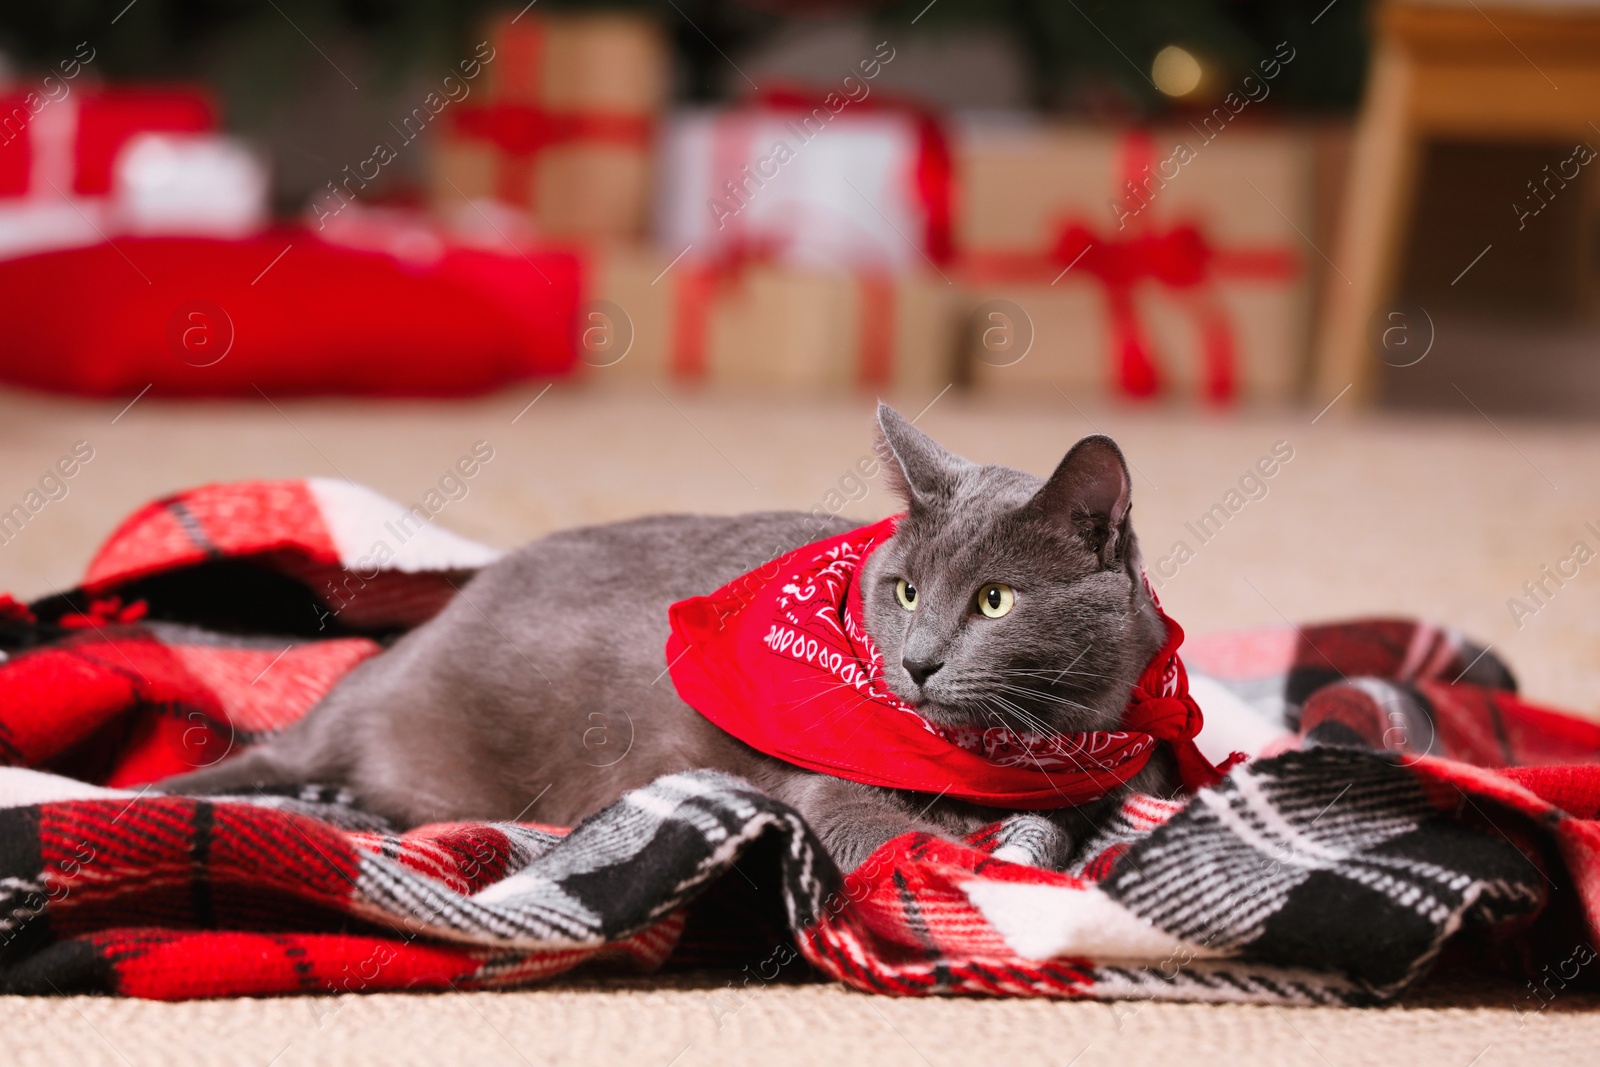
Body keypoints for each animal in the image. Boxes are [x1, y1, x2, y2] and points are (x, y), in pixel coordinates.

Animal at [165, 404, 1177, 870]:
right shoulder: (825, 787)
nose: (918, 660)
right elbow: (887, 834)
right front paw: (970, 855)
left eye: (996, 601)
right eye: (906, 589)